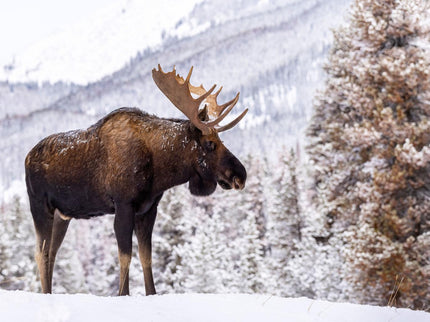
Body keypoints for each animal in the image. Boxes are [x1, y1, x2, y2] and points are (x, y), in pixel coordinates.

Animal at [25, 65, 249, 294]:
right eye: (210, 143)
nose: (241, 175)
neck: (159, 170)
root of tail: (27, 157)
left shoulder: (148, 209)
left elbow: (146, 257)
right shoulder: (124, 205)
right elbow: (125, 257)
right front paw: (123, 294)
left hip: (63, 215)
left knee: (52, 253)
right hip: (40, 206)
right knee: (41, 253)